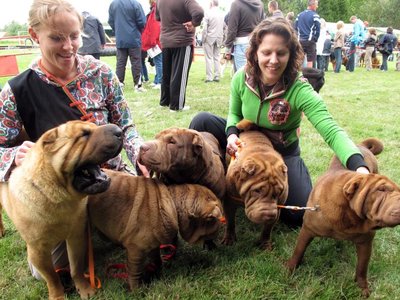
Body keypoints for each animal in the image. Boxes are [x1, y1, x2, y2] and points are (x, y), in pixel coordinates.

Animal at [0, 120, 122, 300]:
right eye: (84, 135)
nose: (119, 131)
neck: (60, 198)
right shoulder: (38, 251)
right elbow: (52, 277)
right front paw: (57, 296)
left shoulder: (76, 236)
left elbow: (76, 268)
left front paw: (84, 289)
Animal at [88, 170, 225, 292]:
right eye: (215, 229)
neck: (173, 202)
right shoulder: (135, 251)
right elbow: (135, 272)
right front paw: (137, 290)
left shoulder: (153, 245)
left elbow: (156, 259)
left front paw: (158, 272)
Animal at [225, 118, 288, 250]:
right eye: (257, 190)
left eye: (279, 192)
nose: (268, 215)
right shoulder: (229, 201)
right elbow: (230, 222)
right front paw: (229, 239)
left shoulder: (277, 209)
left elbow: (267, 230)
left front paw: (265, 244)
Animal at [284, 138, 400, 298]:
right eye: (381, 189)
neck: (350, 217)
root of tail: (361, 145)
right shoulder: (307, 230)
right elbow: (298, 251)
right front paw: (289, 269)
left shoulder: (365, 242)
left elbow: (362, 268)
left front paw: (362, 288)